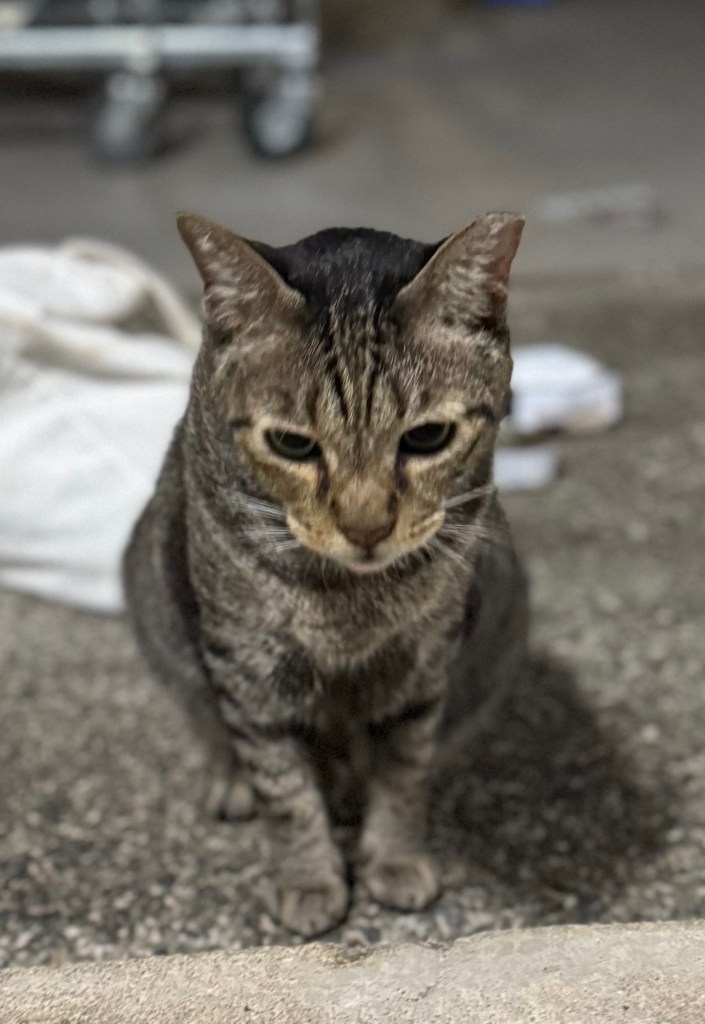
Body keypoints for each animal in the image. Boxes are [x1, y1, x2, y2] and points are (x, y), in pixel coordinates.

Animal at [123, 211, 528, 937]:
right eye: (292, 444)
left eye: (426, 438)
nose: (366, 528)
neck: (349, 602)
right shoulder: (246, 670)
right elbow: (284, 790)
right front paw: (310, 878)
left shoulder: (424, 666)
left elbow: (403, 769)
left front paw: (394, 857)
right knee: (210, 720)